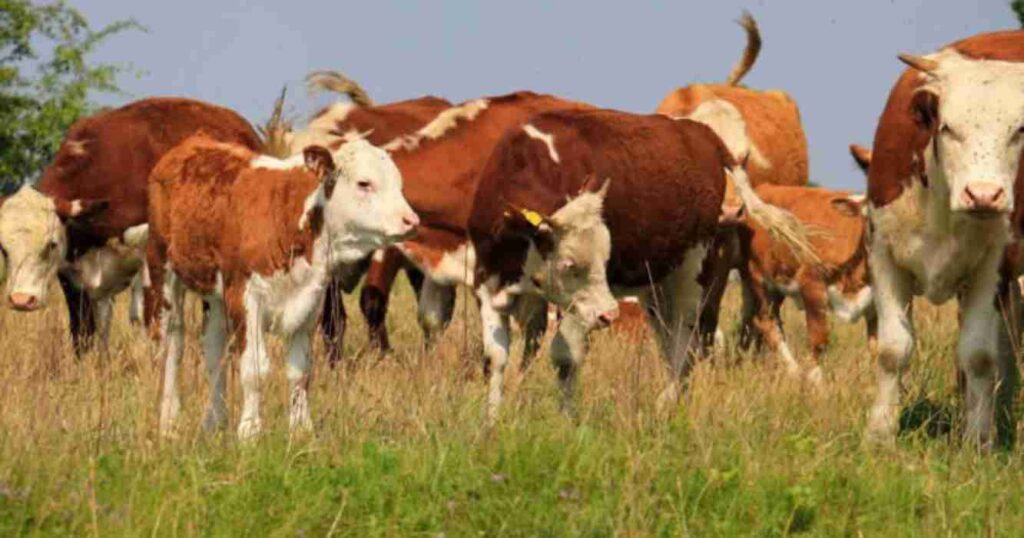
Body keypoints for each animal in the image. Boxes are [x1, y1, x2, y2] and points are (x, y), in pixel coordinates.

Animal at [0, 97, 262, 352]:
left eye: (51, 244)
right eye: (3, 249)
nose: (21, 300)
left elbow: (149, 319)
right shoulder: (72, 273)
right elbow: (83, 331)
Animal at [144, 133, 415, 436]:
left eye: (399, 184)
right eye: (364, 183)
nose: (411, 220)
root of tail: (193, 142)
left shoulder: (309, 302)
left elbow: (300, 370)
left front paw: (301, 429)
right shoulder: (245, 296)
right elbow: (254, 368)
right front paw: (250, 430)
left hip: (215, 297)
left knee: (213, 351)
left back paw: (215, 422)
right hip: (163, 272)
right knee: (171, 346)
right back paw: (169, 421)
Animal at [466, 108, 815, 420]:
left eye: (606, 259)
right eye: (568, 264)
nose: (610, 314)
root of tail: (701, 133)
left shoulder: (578, 307)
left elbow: (565, 358)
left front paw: (566, 423)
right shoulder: (488, 283)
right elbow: (496, 358)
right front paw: (491, 425)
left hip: (695, 274)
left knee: (688, 344)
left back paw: (664, 405)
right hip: (657, 290)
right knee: (671, 344)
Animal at [860, 30, 1024, 448]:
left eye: (1019, 130)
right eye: (948, 127)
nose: (984, 195)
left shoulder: (994, 268)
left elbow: (979, 356)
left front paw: (979, 440)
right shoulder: (882, 255)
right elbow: (892, 350)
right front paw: (879, 434)